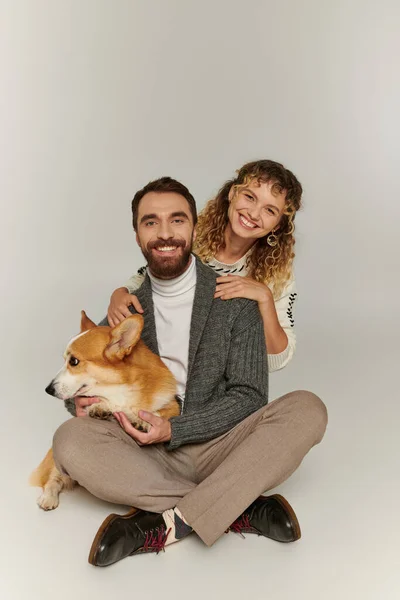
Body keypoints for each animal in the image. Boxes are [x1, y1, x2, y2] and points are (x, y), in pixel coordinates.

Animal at [30, 310, 180, 510]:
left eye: (74, 361)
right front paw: (102, 407)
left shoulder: (173, 405)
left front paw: (139, 419)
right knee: (53, 479)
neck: (122, 387)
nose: (48, 390)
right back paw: (48, 498)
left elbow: (156, 413)